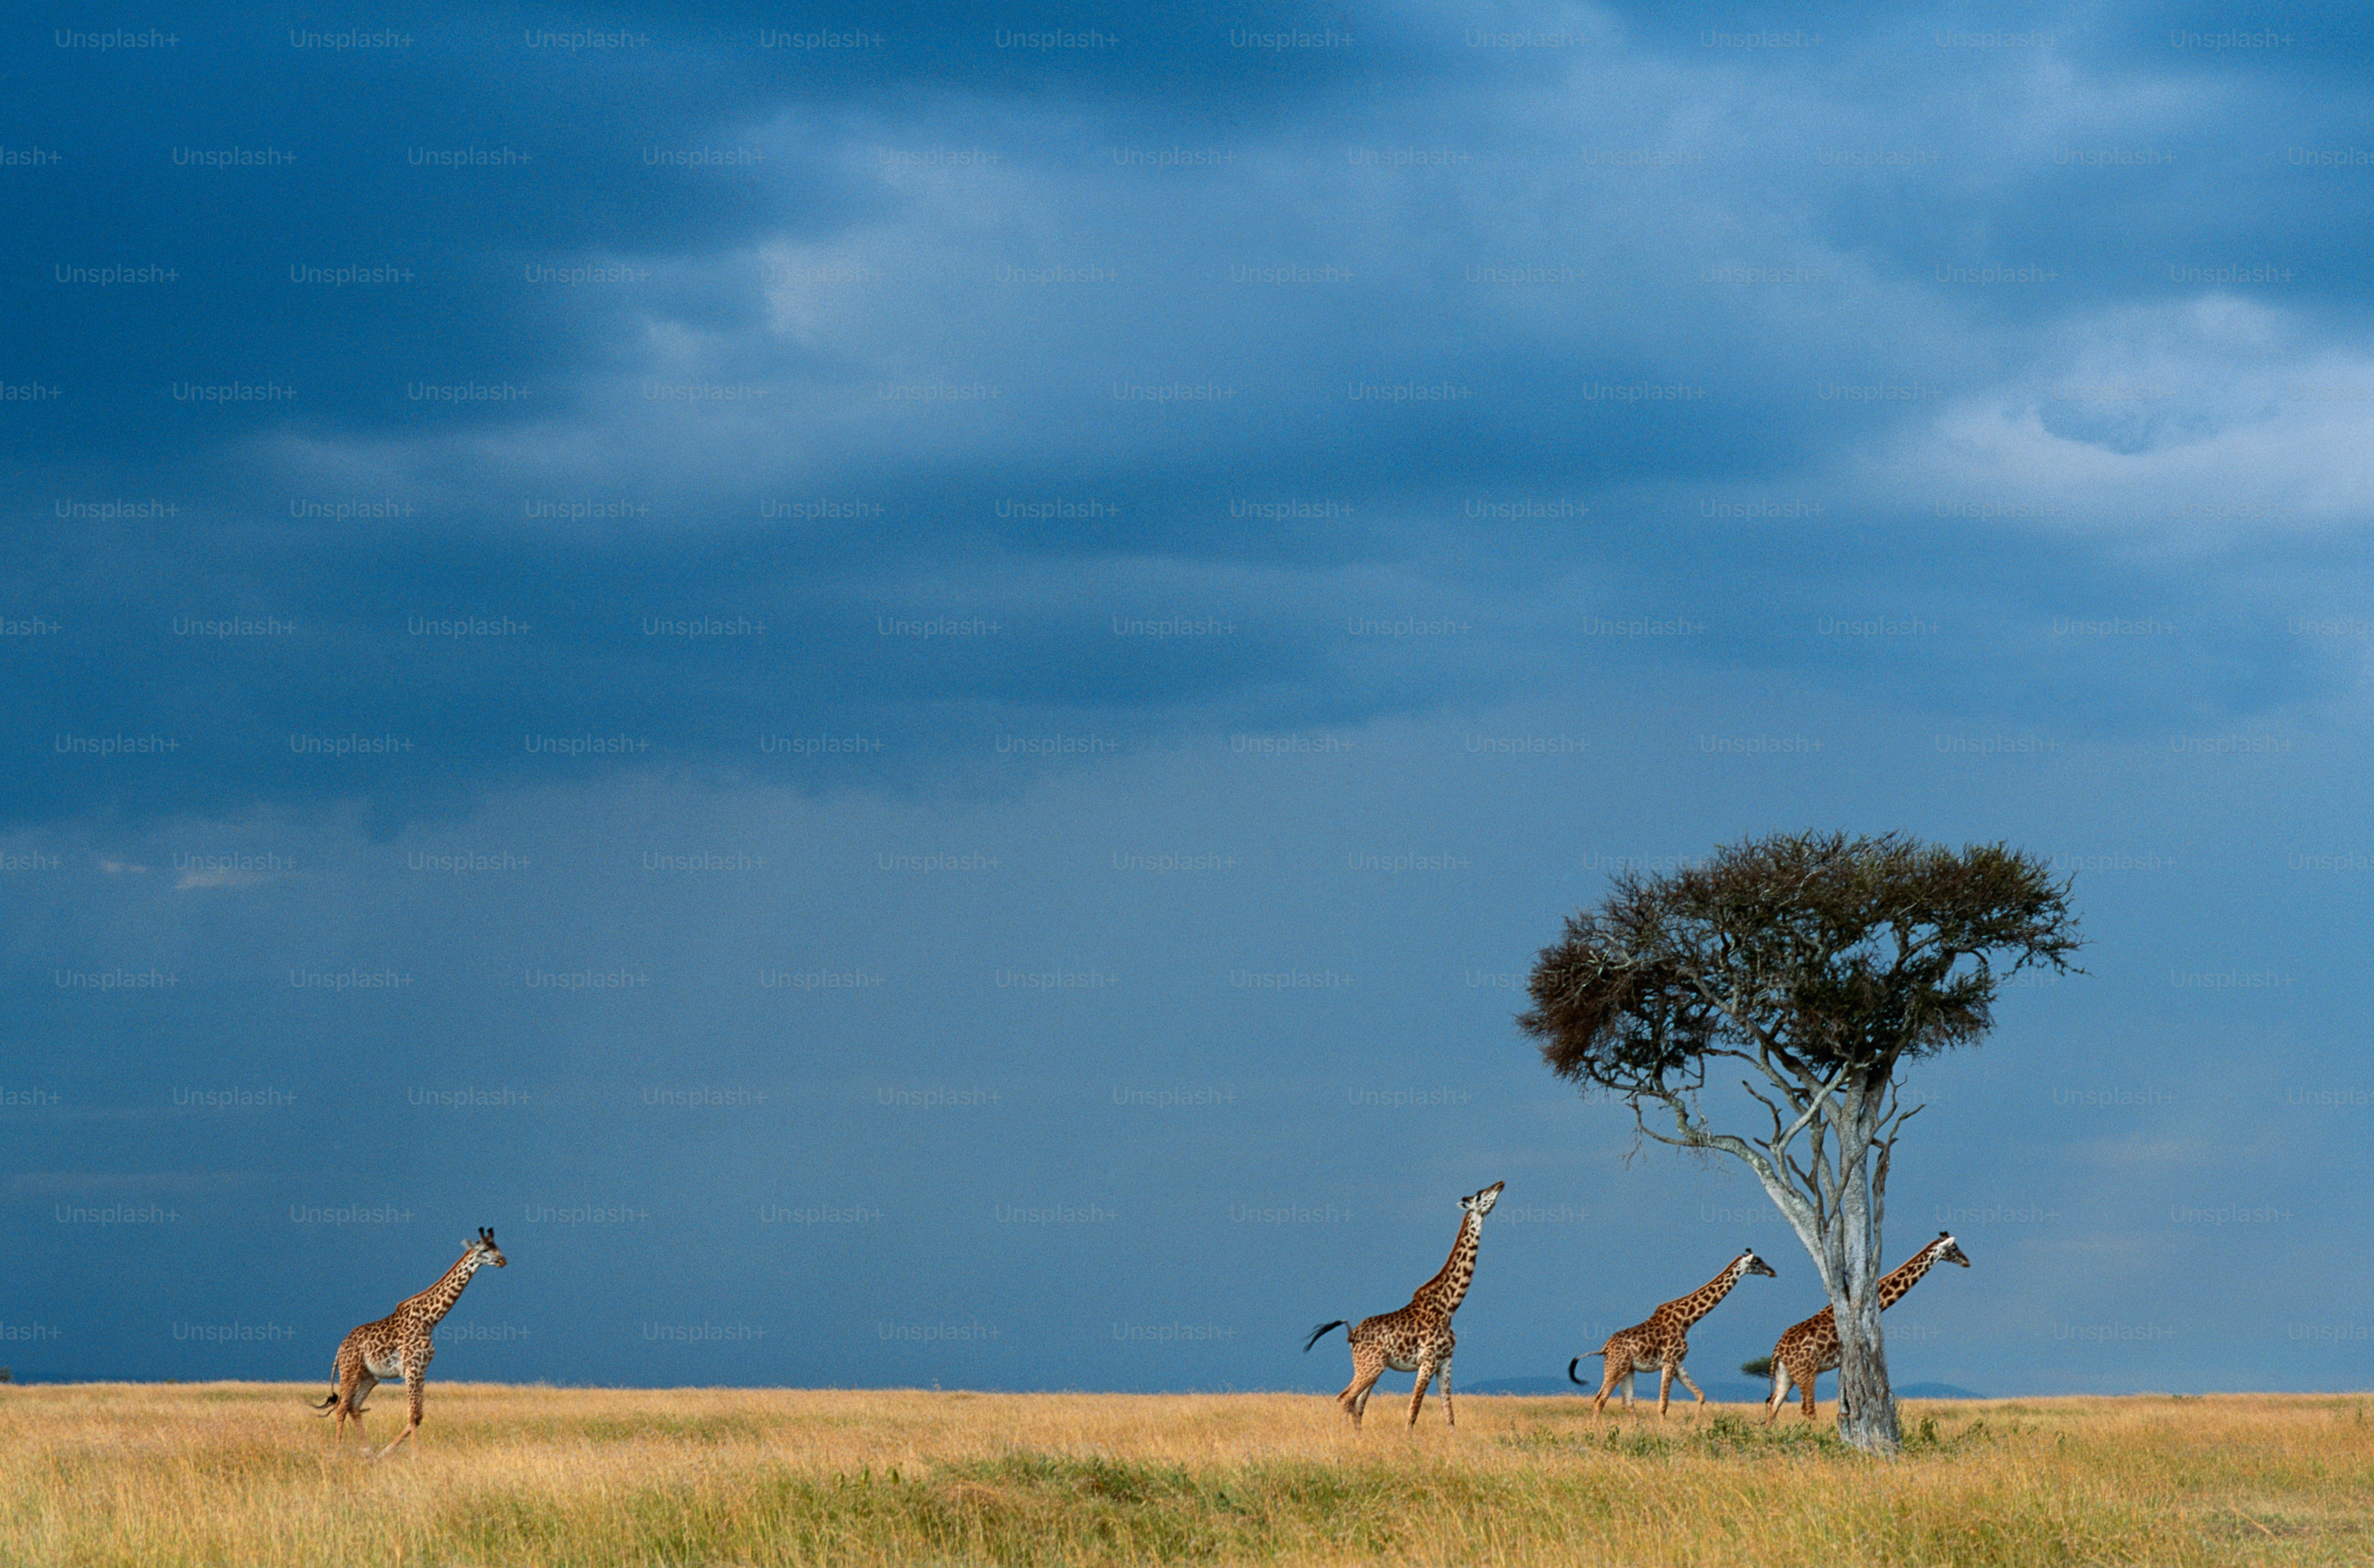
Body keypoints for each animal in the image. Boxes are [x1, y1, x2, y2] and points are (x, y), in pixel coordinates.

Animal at [312, 1227, 507, 1455]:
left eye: (497, 1247)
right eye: (485, 1250)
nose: (503, 1260)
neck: (429, 1321)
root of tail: (340, 1348)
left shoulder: (421, 1369)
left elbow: (418, 1416)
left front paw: (386, 1452)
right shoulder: (412, 1368)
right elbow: (413, 1415)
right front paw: (415, 1455)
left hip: (370, 1376)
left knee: (354, 1405)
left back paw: (368, 1452)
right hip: (350, 1371)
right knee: (342, 1406)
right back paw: (337, 1453)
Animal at [1302, 1180, 1502, 1428]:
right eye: (1480, 1194)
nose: (1500, 1184)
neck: (1449, 1307)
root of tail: (1351, 1334)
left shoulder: (1445, 1361)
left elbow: (1449, 1416)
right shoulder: (1428, 1361)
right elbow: (1413, 1412)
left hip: (1373, 1367)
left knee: (1357, 1405)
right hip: (1371, 1366)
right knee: (1345, 1398)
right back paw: (1343, 1435)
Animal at [1569, 1248, 1777, 1416]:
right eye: (1757, 1262)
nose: (1773, 1271)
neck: (1687, 1321)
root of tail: (1605, 1348)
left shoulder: (1678, 1363)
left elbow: (1701, 1396)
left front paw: (1696, 1426)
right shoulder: (1670, 1361)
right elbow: (1663, 1405)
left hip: (1628, 1370)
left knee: (1627, 1403)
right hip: (1616, 1367)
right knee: (1600, 1399)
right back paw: (1594, 1431)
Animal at [1763, 1231, 1970, 1424]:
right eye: (1954, 1248)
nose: (1967, 1262)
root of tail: (1778, 1350)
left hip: (1787, 1373)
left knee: (1773, 1404)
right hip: (1806, 1371)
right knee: (1807, 1409)